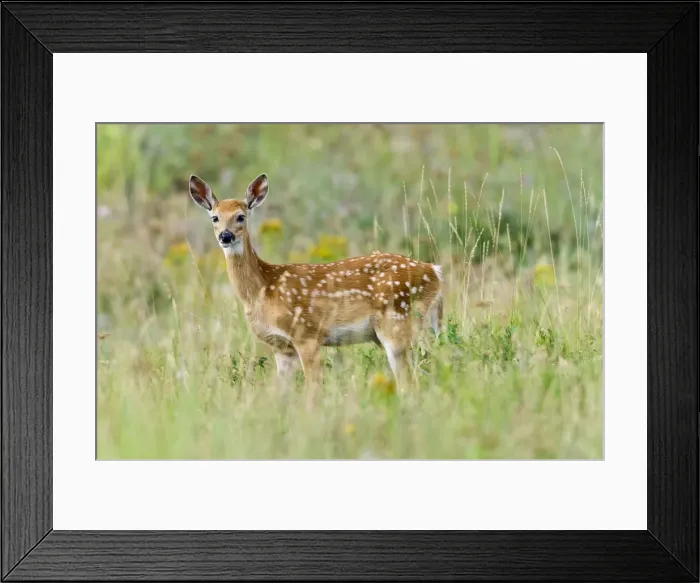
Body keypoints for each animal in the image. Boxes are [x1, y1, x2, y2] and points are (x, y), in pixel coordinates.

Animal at [189, 173, 444, 408]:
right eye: (215, 217)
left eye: (241, 217)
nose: (226, 236)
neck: (262, 289)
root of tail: (435, 271)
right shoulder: (282, 348)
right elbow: (281, 394)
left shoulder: (307, 334)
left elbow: (313, 390)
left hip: (397, 320)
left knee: (410, 381)